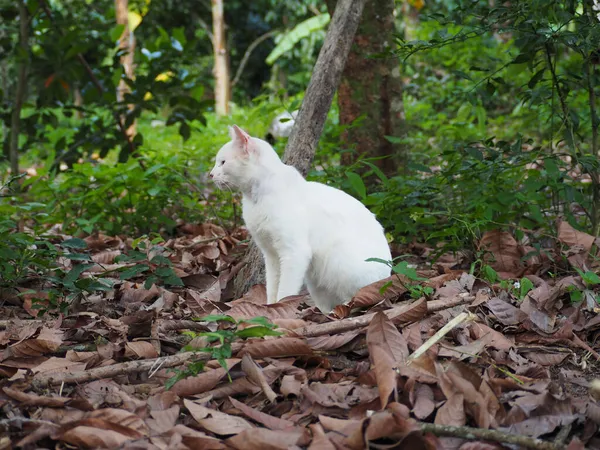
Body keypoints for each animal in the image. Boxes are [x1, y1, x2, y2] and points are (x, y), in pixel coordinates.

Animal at [209, 124, 392, 312]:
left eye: (222, 162)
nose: (211, 174)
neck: (255, 199)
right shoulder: (271, 254)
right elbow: (272, 286)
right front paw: (270, 307)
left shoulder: (294, 252)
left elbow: (285, 290)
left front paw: (279, 309)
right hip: (315, 280)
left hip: (339, 262)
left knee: (354, 300)